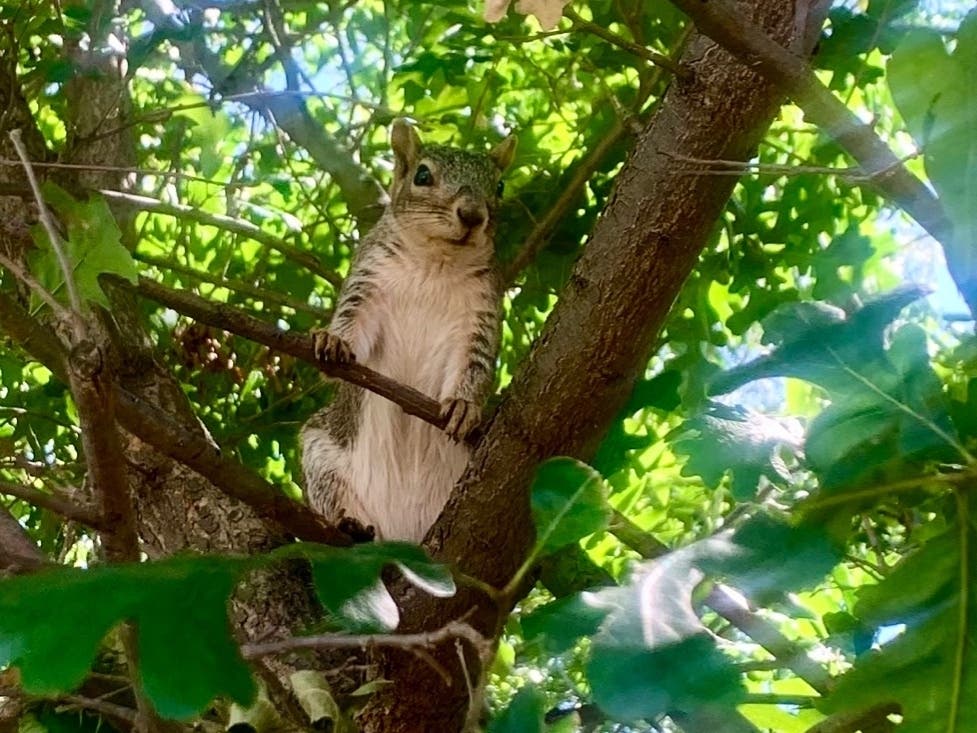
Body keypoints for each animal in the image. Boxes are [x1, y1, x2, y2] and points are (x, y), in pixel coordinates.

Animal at [301, 120, 516, 543]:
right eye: (422, 175)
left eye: (499, 186)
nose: (472, 214)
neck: (435, 260)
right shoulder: (367, 282)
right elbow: (354, 324)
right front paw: (333, 340)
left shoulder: (480, 314)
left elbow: (475, 362)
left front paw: (464, 405)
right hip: (322, 457)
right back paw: (350, 524)